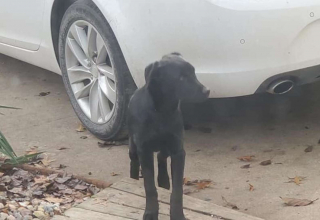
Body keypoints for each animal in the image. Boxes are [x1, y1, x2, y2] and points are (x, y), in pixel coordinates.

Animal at [128, 53, 210, 220]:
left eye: (194, 72)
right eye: (181, 78)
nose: (207, 91)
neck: (161, 112)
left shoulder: (178, 151)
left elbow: (177, 190)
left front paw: (177, 214)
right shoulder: (144, 150)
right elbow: (149, 186)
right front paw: (151, 212)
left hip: (167, 146)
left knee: (161, 156)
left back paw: (164, 180)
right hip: (133, 146)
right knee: (134, 159)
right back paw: (133, 176)